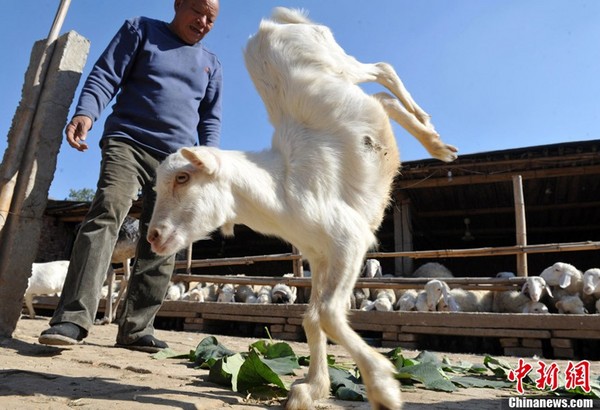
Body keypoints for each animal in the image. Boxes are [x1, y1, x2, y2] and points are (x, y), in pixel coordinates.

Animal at [148, 7, 458, 410]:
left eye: (183, 178)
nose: (154, 236)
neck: (281, 186)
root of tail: (271, 26)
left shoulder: (350, 241)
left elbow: (327, 314)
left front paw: (382, 387)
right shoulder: (319, 255)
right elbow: (312, 319)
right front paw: (311, 388)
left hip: (334, 58)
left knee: (381, 70)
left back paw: (431, 134)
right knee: (378, 100)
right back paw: (431, 139)